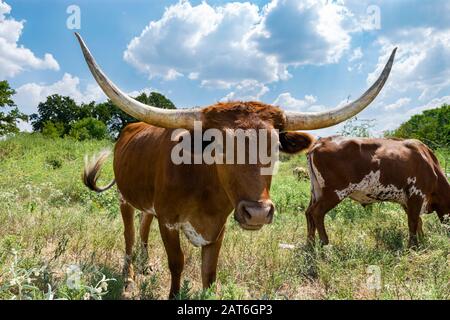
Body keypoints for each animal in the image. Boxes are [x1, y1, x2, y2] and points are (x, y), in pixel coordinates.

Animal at [76, 32, 398, 298]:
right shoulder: (169, 222)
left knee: (144, 225)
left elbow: (209, 273)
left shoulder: (217, 229)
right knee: (130, 236)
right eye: (216, 144)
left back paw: (144, 267)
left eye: (274, 146)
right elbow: (177, 263)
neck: (202, 187)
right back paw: (130, 279)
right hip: (124, 199)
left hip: (147, 203)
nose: (257, 213)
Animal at [304, 136, 448, 246]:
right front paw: (413, 246)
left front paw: (422, 240)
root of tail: (320, 142)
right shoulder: (416, 194)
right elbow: (413, 222)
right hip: (334, 192)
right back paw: (325, 243)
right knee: (317, 212)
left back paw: (310, 245)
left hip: (316, 191)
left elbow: (418, 222)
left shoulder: (406, 200)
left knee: (308, 213)